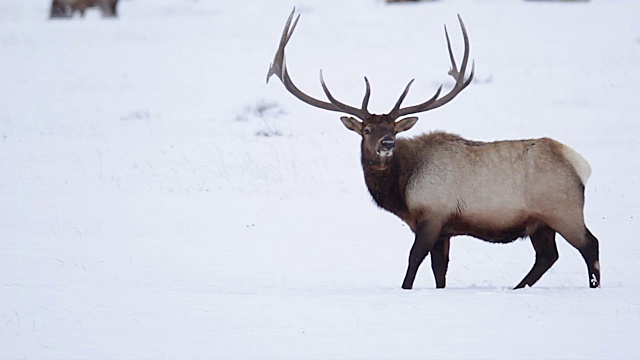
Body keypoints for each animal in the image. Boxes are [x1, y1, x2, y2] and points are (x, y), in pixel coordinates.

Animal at [264, 8, 600, 290]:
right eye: (368, 130)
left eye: (393, 131)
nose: (387, 144)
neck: (402, 189)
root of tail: (579, 164)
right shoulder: (444, 229)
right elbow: (441, 270)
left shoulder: (432, 215)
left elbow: (414, 260)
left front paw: (405, 289)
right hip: (540, 223)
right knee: (548, 256)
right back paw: (517, 288)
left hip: (562, 209)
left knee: (590, 245)